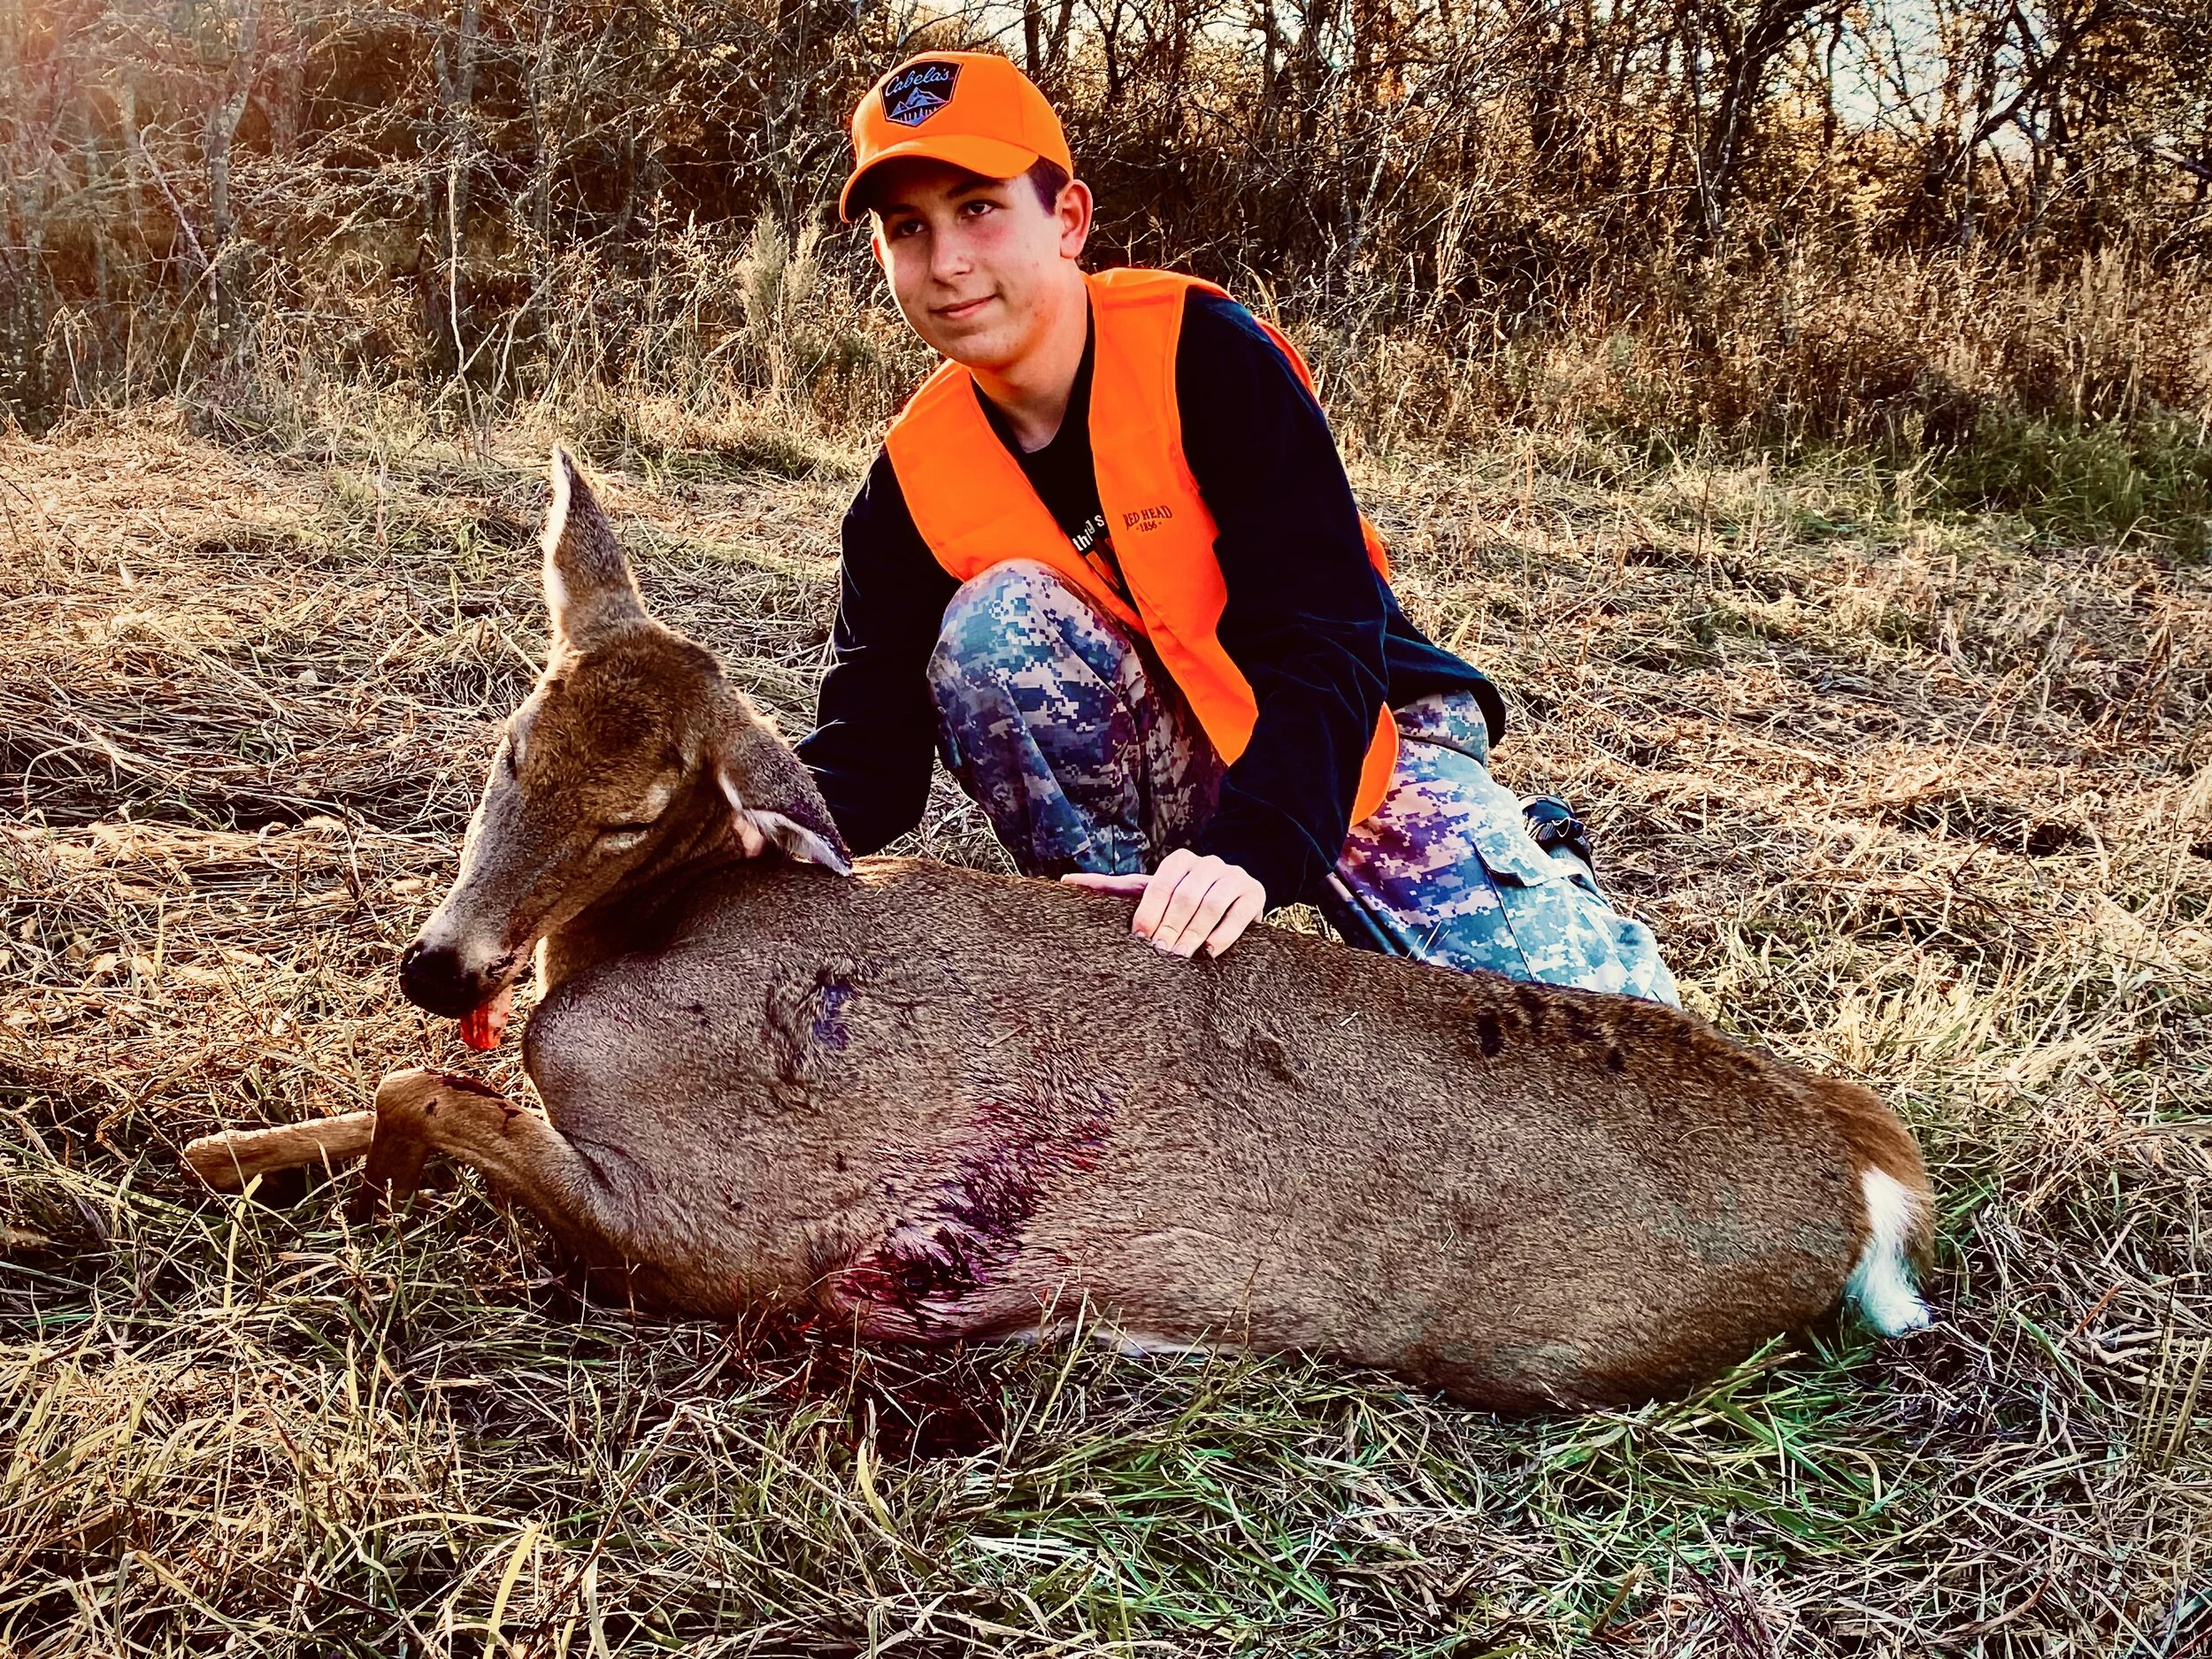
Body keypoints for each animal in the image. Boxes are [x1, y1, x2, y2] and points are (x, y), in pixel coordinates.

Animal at [184, 450, 1934, 1412]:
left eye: (629, 815)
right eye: (510, 745)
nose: (440, 962)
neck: (646, 940)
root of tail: (1865, 1169)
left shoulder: (725, 1231)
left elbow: (428, 1100)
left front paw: (346, 1172)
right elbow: (371, 1100)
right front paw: (217, 1152)